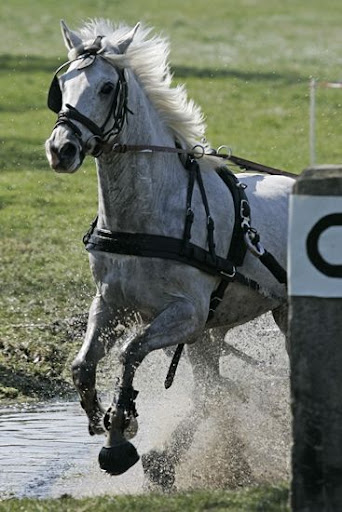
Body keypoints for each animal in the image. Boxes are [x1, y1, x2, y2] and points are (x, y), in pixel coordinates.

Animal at [44, 19, 292, 484]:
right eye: (62, 84)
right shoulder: (112, 304)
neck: (148, 214)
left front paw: (119, 437)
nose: (60, 149)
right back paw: (172, 459)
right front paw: (101, 417)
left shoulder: (185, 314)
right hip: (211, 331)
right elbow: (82, 365)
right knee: (212, 389)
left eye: (107, 87)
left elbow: (131, 352)